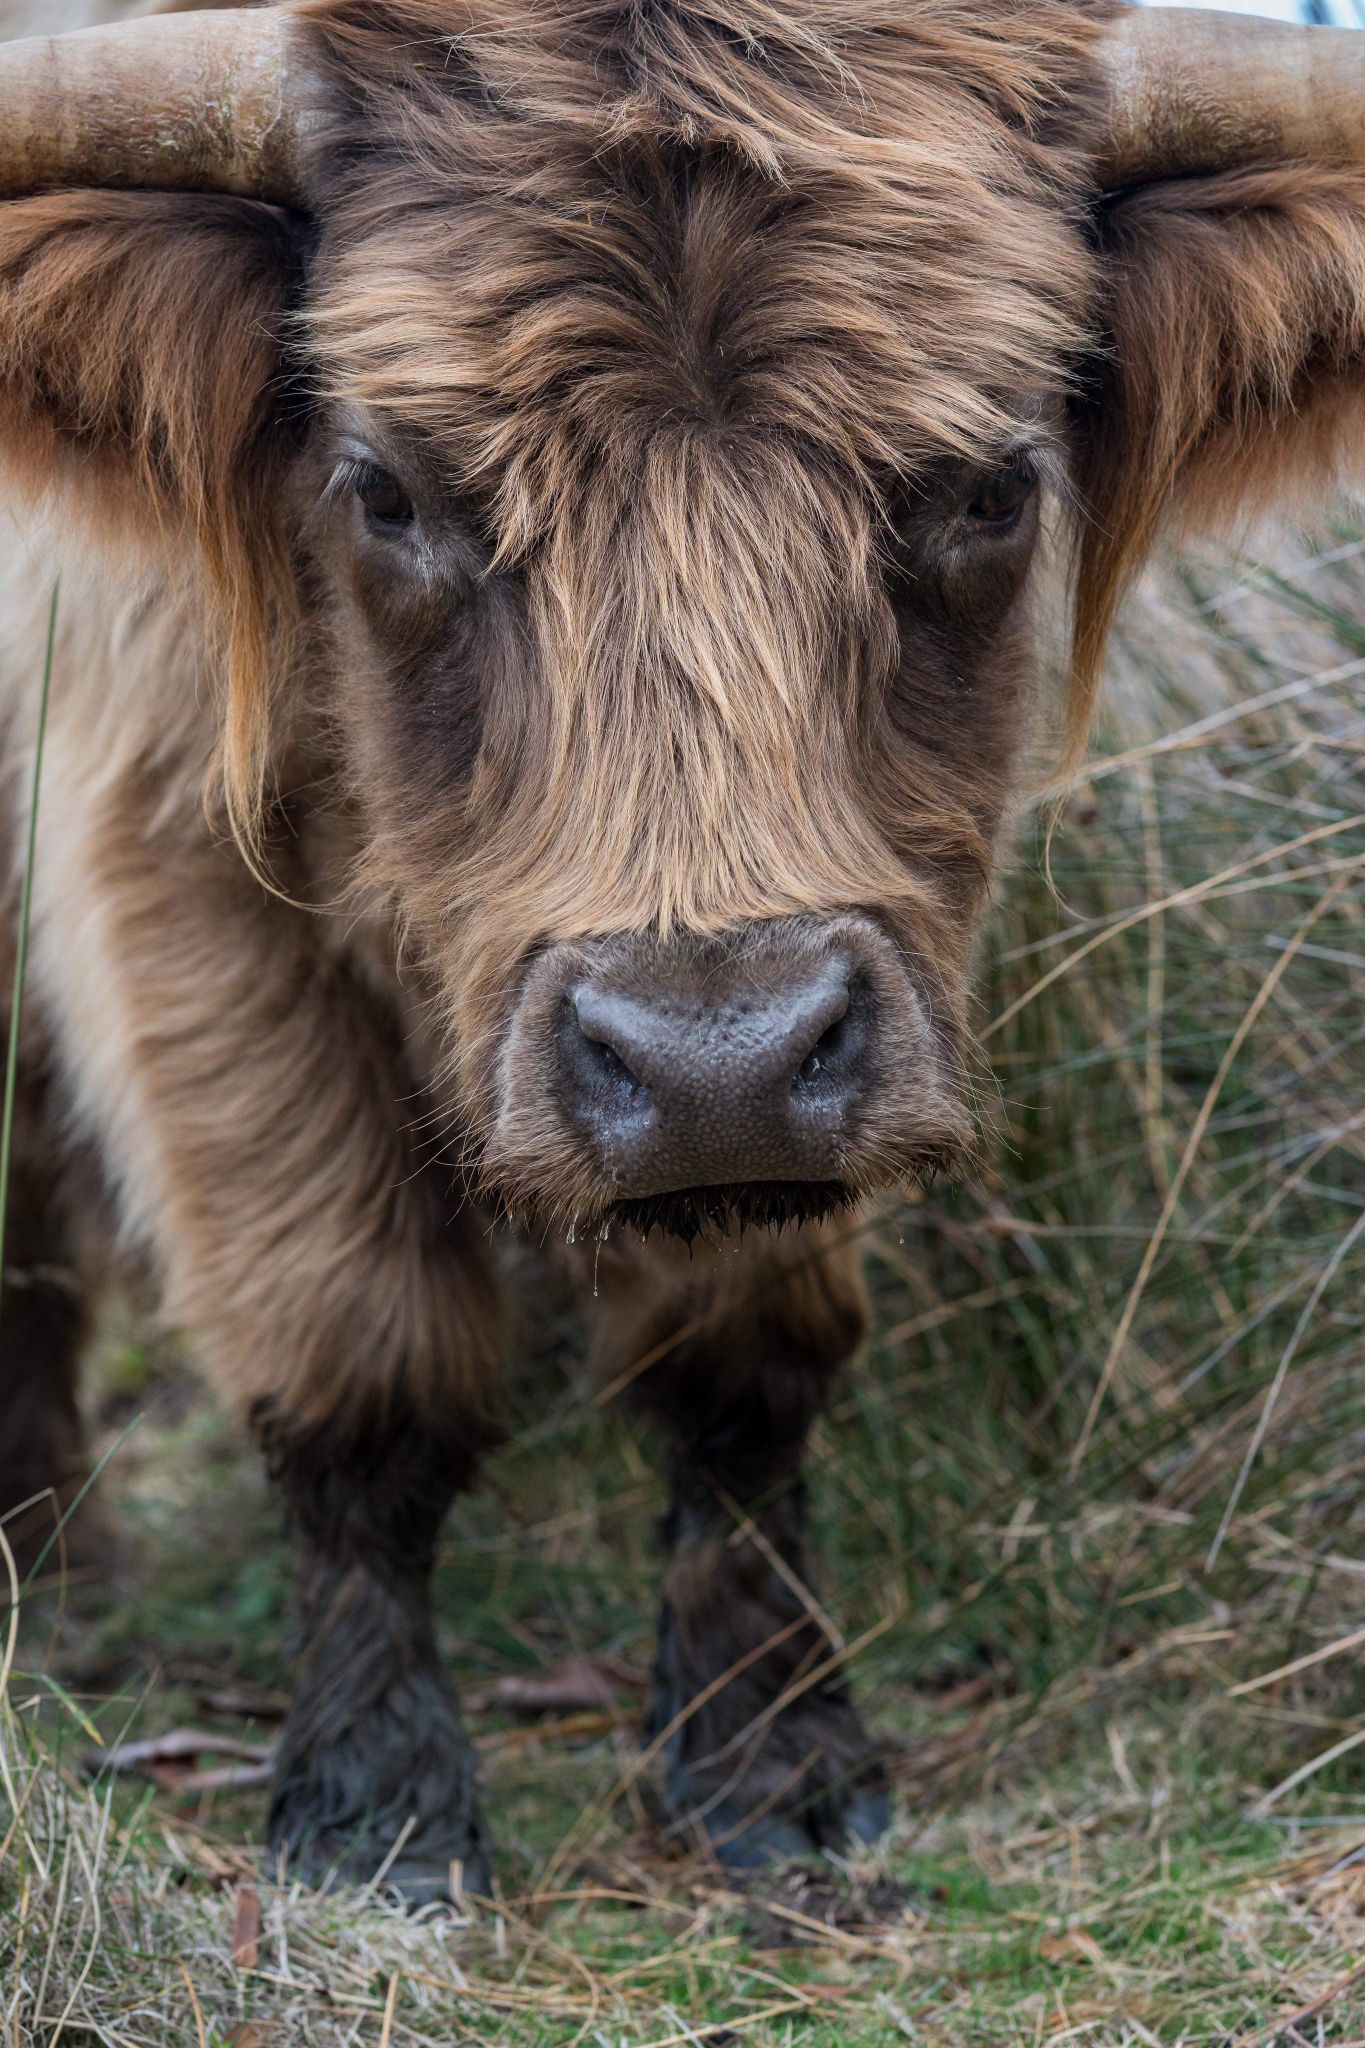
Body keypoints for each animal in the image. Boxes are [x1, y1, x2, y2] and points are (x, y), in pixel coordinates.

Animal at [0, 0, 1362, 1902]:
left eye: (993, 484)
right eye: (387, 493)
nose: (707, 1054)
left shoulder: (822, 1048)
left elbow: (741, 1365)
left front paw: (770, 1749)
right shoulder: (166, 858)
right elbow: (357, 1348)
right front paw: (377, 1797)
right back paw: (52, 1563)